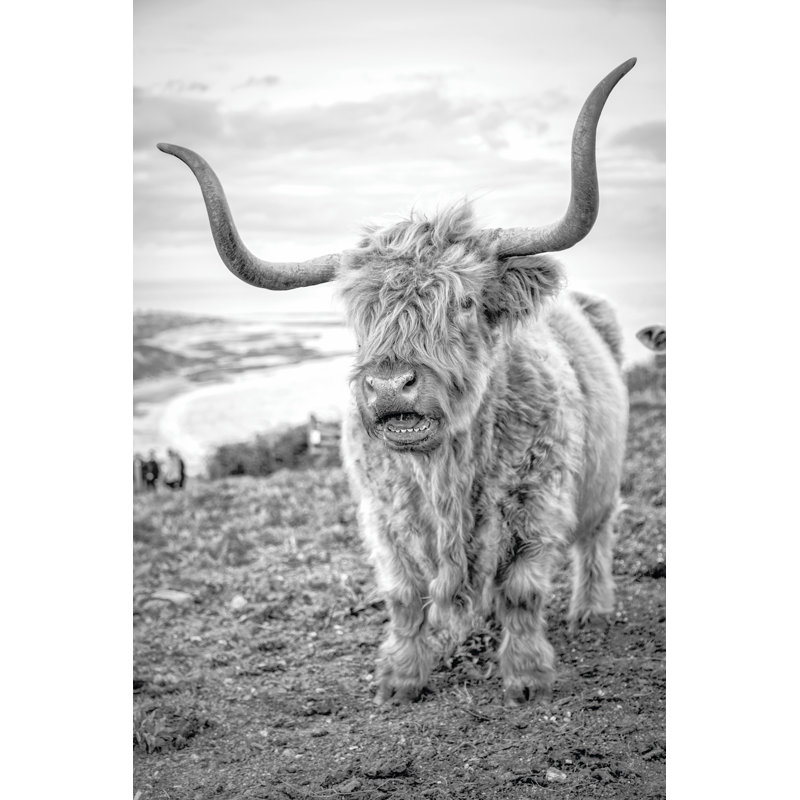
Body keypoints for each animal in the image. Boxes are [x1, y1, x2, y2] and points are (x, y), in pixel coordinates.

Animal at [157, 58, 636, 707]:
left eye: (463, 302)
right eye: (361, 315)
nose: (389, 386)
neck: (446, 477)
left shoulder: (537, 502)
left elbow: (521, 590)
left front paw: (527, 677)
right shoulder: (383, 517)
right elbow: (404, 596)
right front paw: (401, 678)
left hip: (602, 484)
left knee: (596, 539)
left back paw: (593, 610)